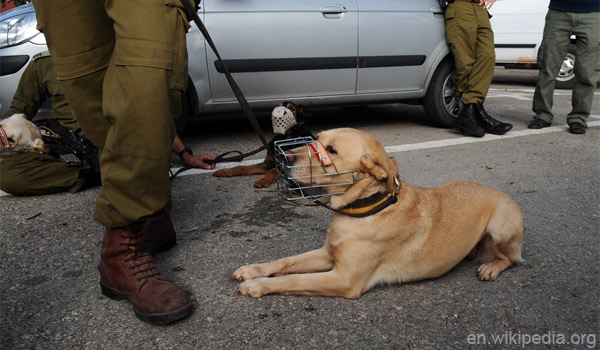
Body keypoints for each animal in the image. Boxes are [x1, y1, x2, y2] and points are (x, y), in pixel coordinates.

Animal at [232, 128, 524, 298]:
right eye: (317, 139)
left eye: (332, 150)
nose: (284, 159)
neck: (365, 208)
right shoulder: (327, 255)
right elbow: (285, 262)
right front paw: (253, 271)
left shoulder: (344, 280)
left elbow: (295, 280)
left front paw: (258, 286)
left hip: (501, 228)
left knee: (511, 259)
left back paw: (491, 268)